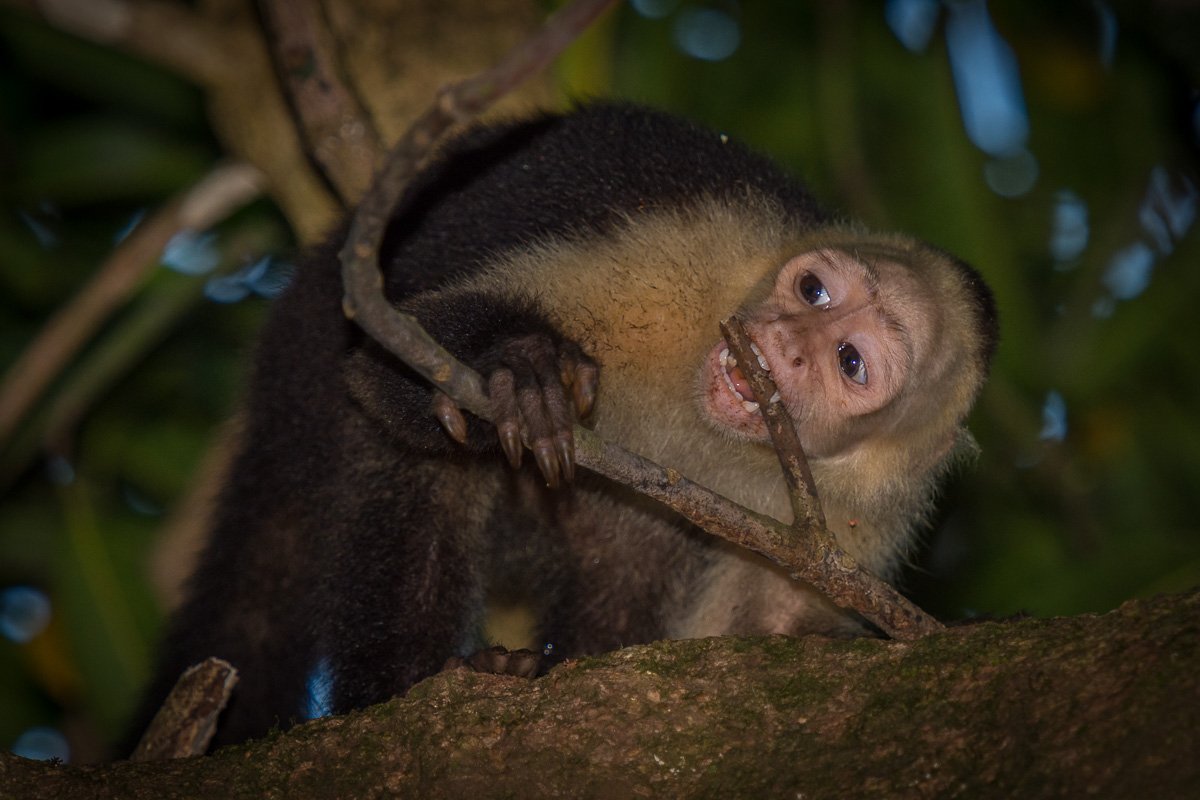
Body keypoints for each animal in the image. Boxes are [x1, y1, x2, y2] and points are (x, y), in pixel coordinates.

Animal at [129, 103, 997, 750]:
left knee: (631, 545)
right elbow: (393, 358)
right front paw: (520, 367)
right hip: (306, 357)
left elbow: (756, 632)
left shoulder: (860, 519)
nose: (783, 340)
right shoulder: (682, 270)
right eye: (812, 291)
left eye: (849, 362)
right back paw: (408, 686)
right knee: (415, 451)